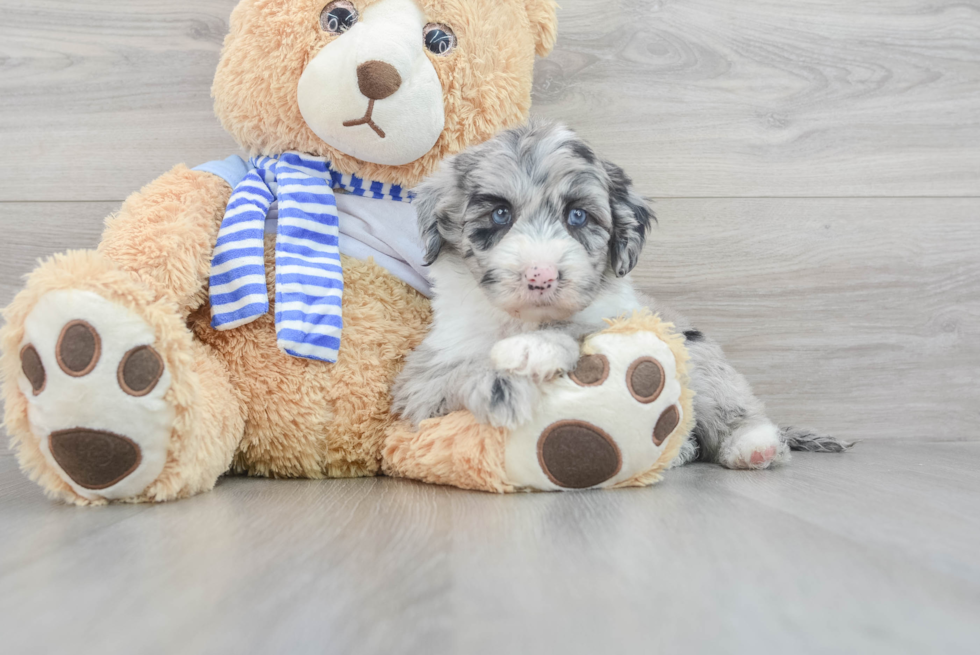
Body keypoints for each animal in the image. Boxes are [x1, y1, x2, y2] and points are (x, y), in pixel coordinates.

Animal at [392, 120, 848, 468]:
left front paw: (533, 349)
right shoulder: (421, 386)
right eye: (500, 213)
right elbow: (454, 373)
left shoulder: (622, 321)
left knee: (735, 412)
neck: (524, 319)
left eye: (578, 216)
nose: (541, 275)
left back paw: (753, 447)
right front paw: (501, 382)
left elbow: (575, 327)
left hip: (698, 354)